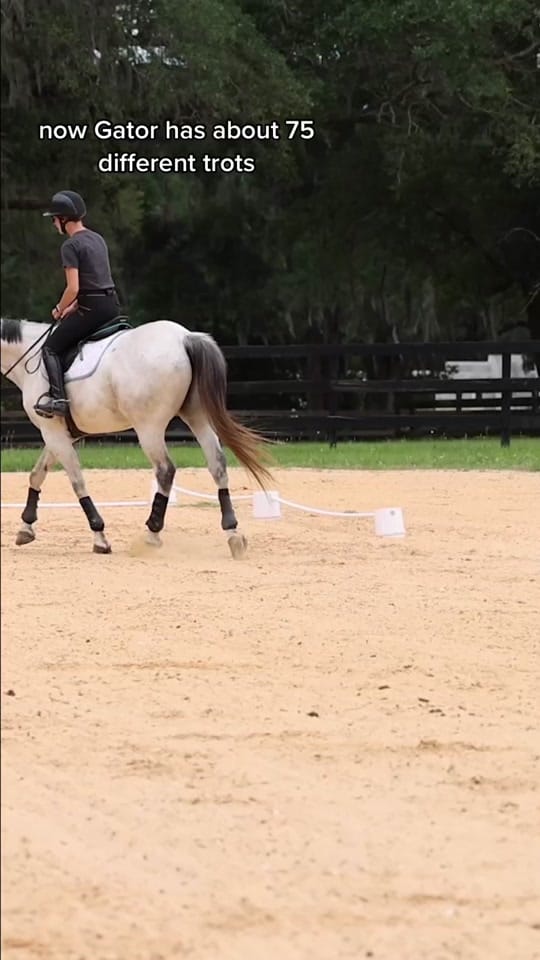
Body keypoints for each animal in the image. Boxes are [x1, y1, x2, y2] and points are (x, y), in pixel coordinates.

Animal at [0, 317, 273, 557]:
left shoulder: (53, 432)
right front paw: (26, 528)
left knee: (165, 470)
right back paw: (233, 533)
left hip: (148, 428)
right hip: (197, 417)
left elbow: (77, 481)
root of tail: (184, 337)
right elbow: (37, 474)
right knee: (217, 464)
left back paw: (151, 535)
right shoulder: (60, 435)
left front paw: (100, 538)